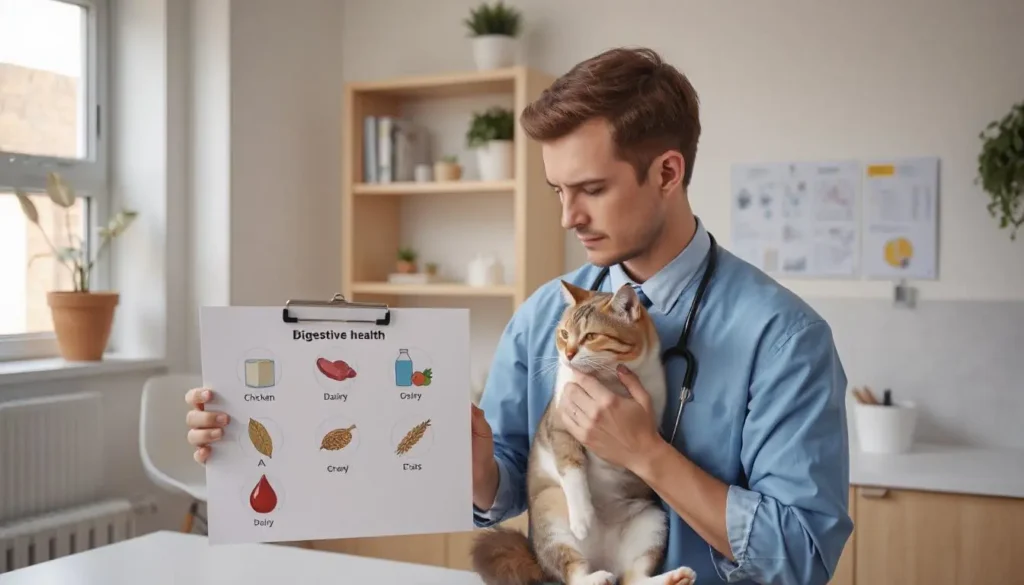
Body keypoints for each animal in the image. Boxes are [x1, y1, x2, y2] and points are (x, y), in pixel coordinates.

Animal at [468, 278, 696, 585]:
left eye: (591, 336)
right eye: (564, 334)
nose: (568, 354)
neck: (608, 381)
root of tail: (605, 559)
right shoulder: (561, 427)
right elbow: (573, 470)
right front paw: (583, 517)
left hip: (652, 521)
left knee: (634, 578)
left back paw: (673, 578)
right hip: (550, 513)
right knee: (575, 574)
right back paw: (596, 575)